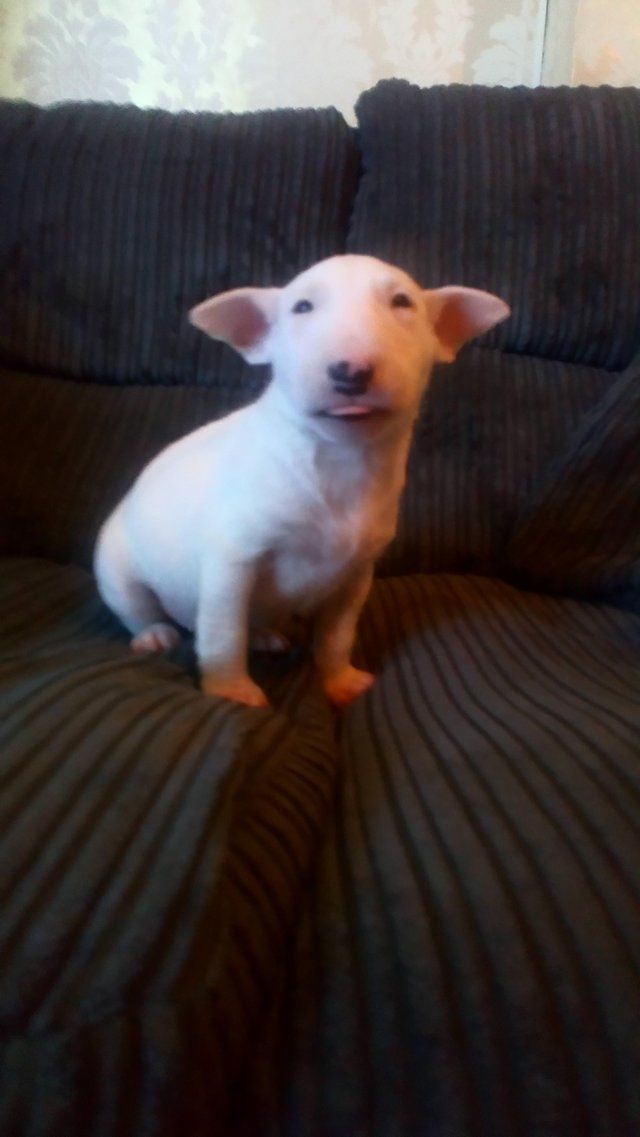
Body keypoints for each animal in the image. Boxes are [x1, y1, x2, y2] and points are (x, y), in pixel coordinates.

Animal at [93, 254, 511, 704]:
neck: (340, 459)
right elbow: (224, 633)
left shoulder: (356, 574)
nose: (350, 370)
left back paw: (263, 635)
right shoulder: (231, 560)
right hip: (121, 572)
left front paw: (340, 682)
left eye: (402, 302)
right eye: (302, 307)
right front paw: (232, 692)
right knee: (140, 611)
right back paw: (155, 635)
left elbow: (336, 635)